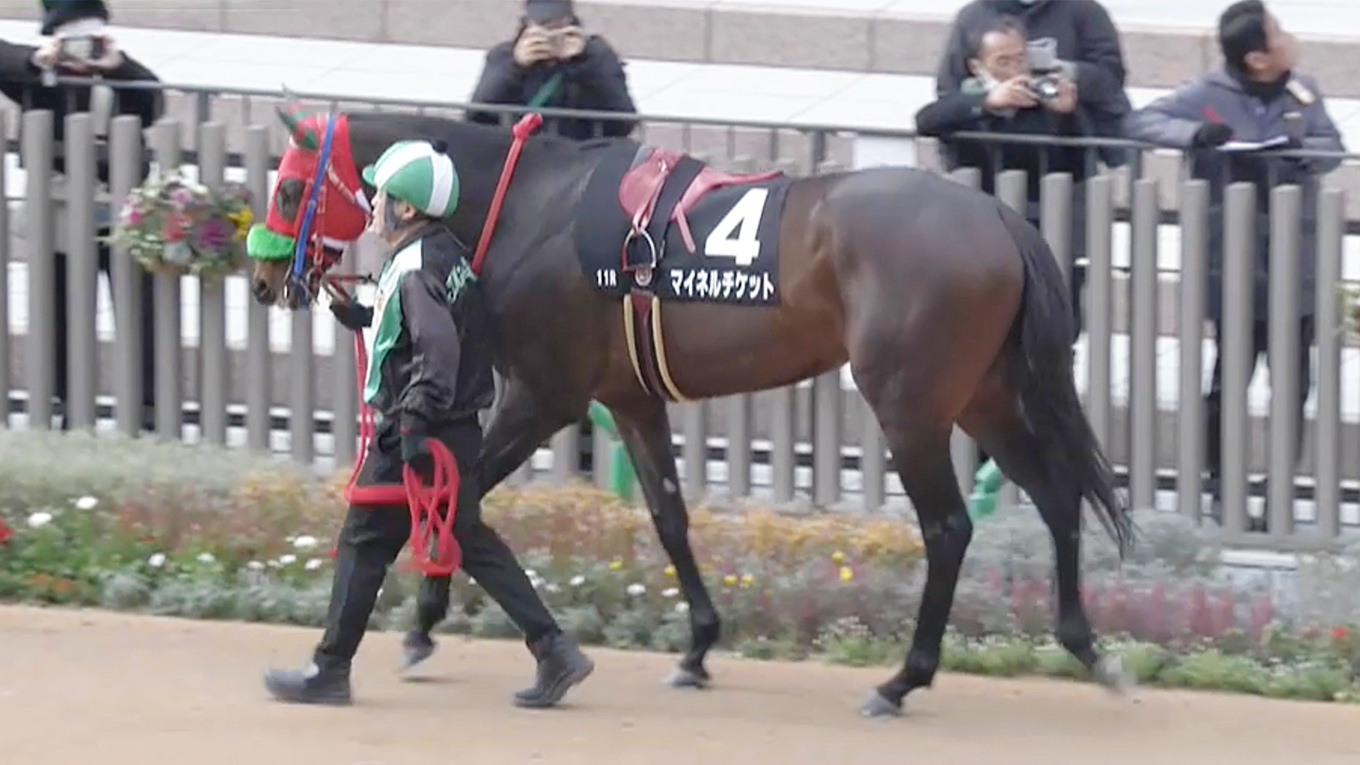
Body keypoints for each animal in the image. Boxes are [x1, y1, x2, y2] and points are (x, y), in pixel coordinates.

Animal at [247, 104, 1133, 718]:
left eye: (288, 187)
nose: (262, 279)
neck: (532, 206)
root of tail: (999, 215)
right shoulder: (631, 399)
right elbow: (669, 517)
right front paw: (699, 646)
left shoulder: (543, 393)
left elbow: (448, 495)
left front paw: (425, 624)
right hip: (987, 394)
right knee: (1057, 497)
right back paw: (1089, 648)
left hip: (911, 405)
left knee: (949, 528)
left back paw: (901, 679)